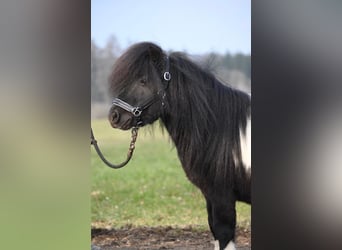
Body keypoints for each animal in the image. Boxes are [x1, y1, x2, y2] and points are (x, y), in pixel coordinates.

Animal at [107, 42, 251, 249]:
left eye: (143, 80)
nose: (114, 116)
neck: (221, 129)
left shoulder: (222, 198)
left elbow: (223, 235)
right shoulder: (210, 197)